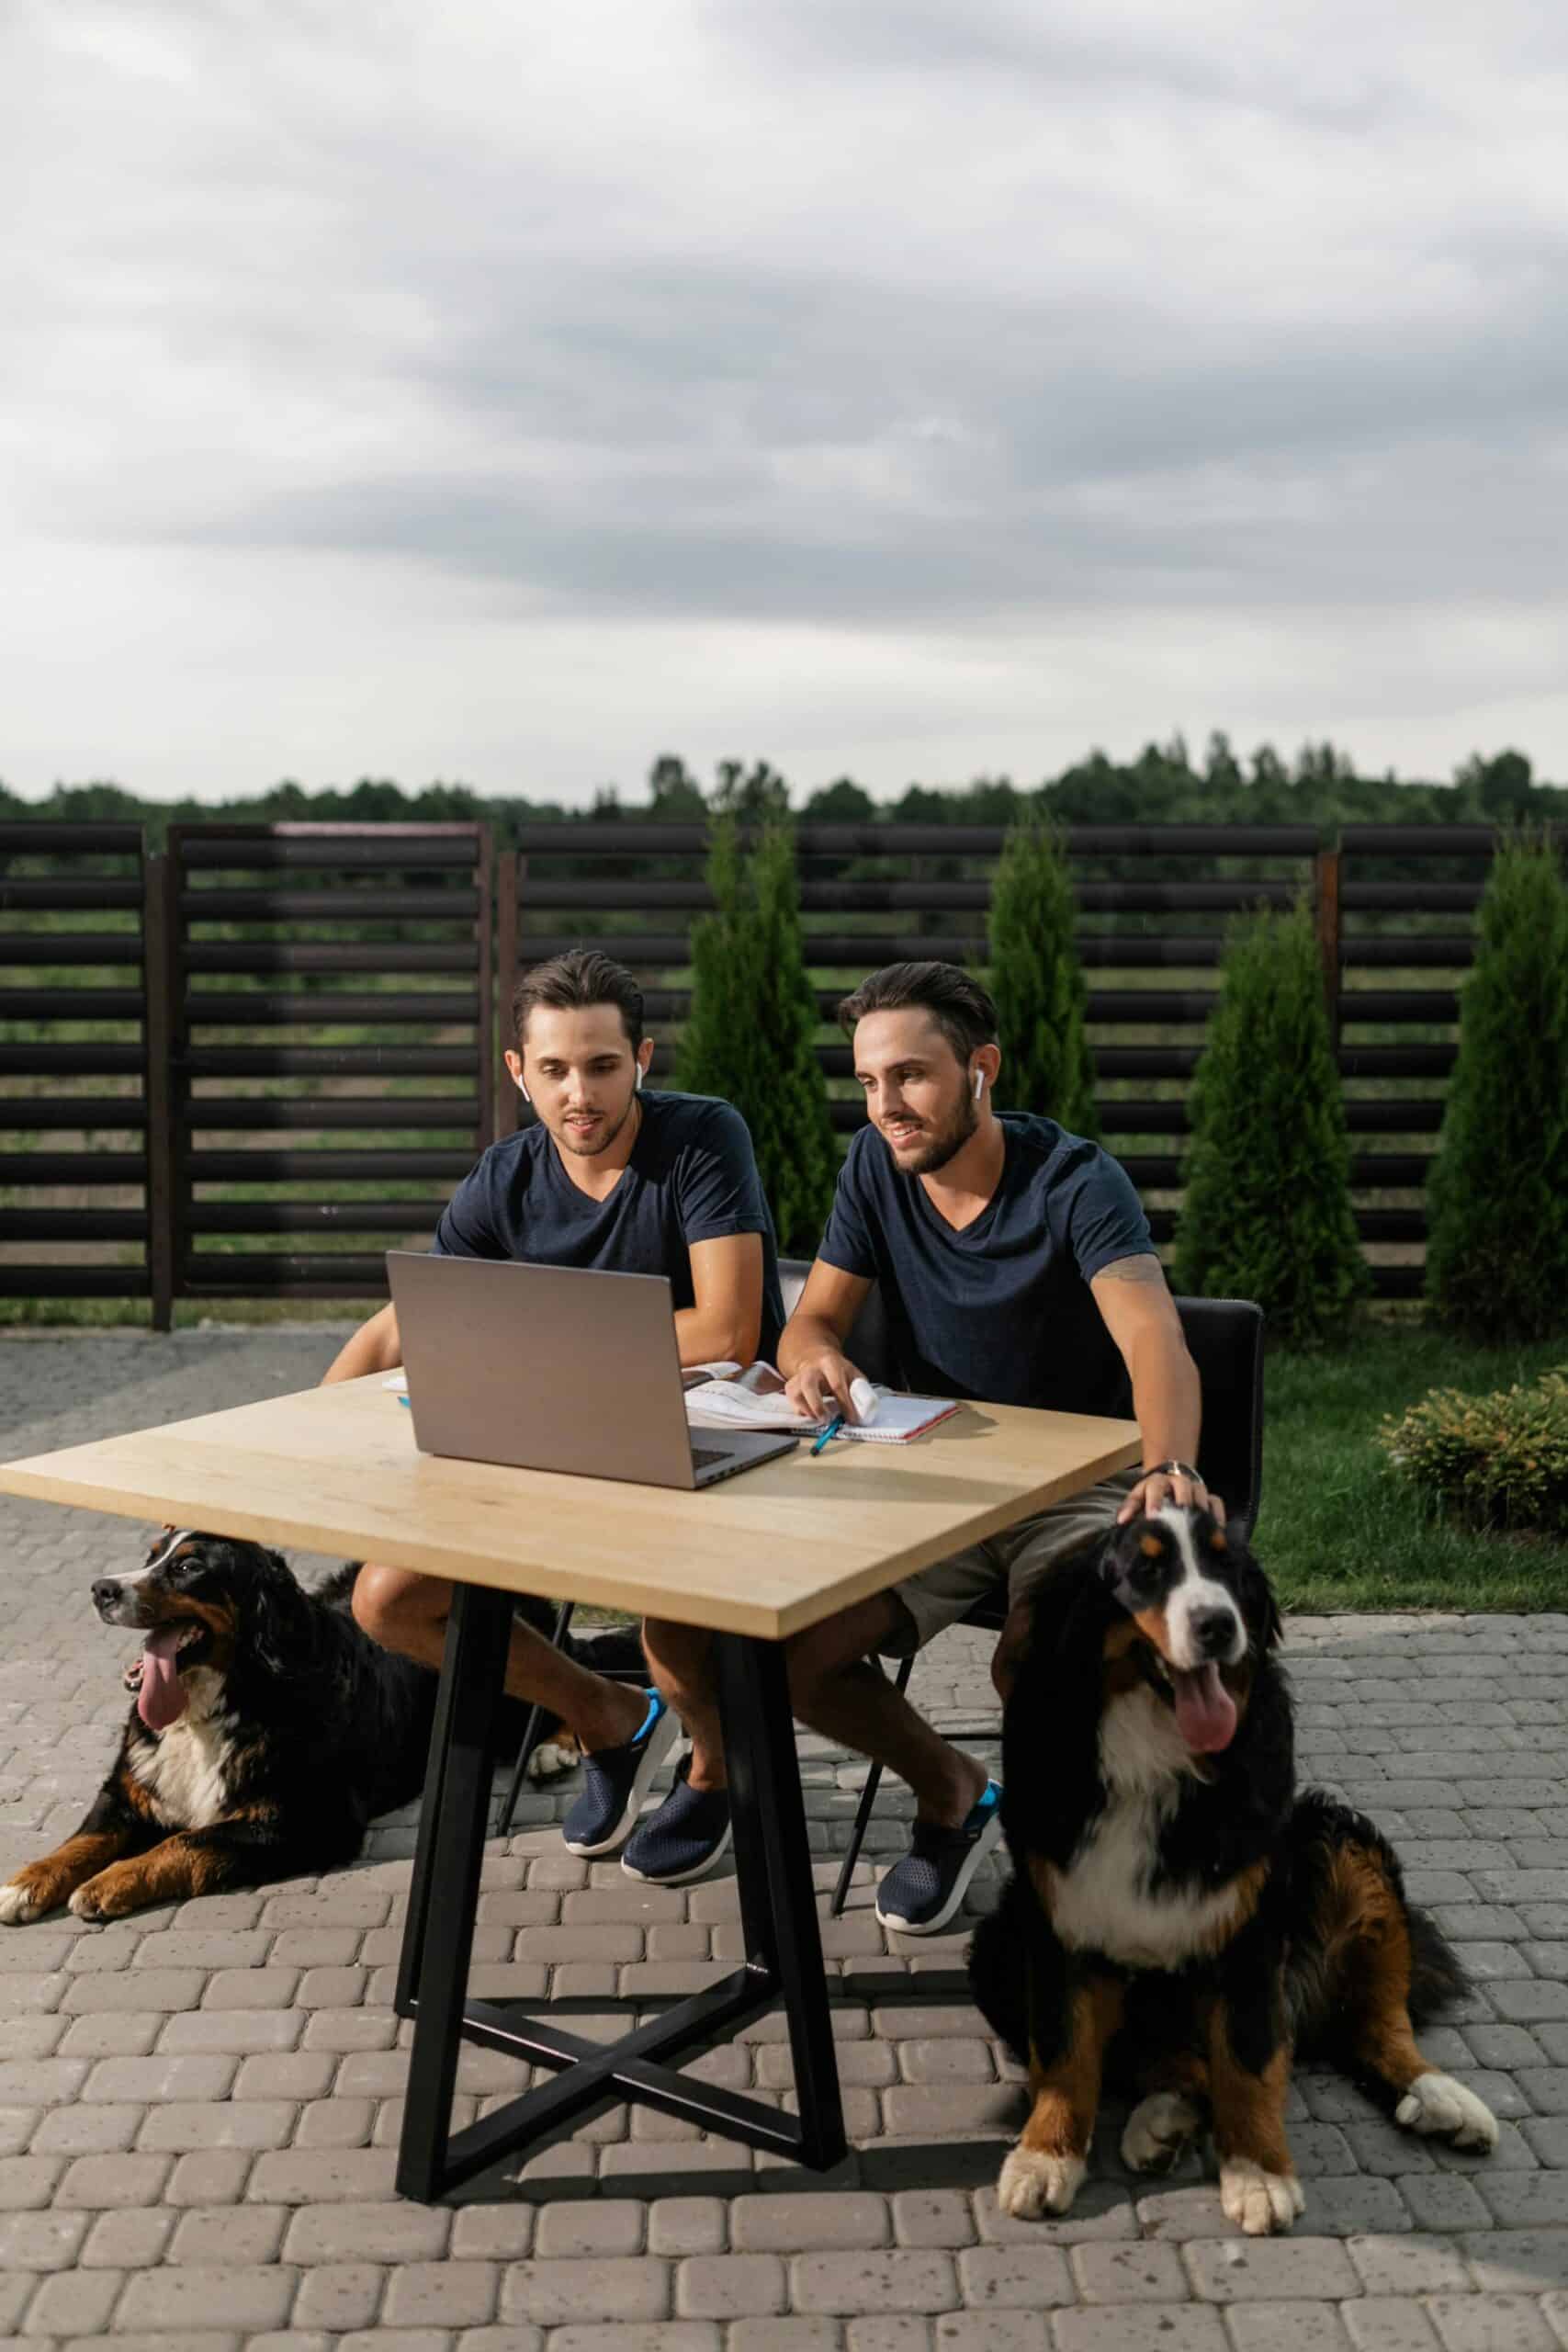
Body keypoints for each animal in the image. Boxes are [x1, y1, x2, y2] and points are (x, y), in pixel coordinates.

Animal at [0, 1523, 644, 1928]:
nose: (102, 1589)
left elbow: (188, 1841)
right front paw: (25, 1882)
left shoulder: (310, 1821)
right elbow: (81, 1839)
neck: (226, 1698)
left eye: (187, 1567)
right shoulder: (129, 1790)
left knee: (584, 1678)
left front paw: (109, 1883)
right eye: (152, 1553)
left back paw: (554, 1751)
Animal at [973, 1505, 1504, 2239]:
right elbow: (1065, 2050)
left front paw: (1258, 2172)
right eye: (1145, 1570)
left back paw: (1441, 2095)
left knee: (1370, 2018)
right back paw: (1161, 2119)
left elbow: (1248, 2061)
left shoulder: (1249, 1929)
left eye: (1227, 1567)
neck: (1154, 1758)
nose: (1218, 1625)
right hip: (995, 1943)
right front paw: (1045, 2156)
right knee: (1174, 2061)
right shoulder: (1055, 1923)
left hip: (1337, 1842)